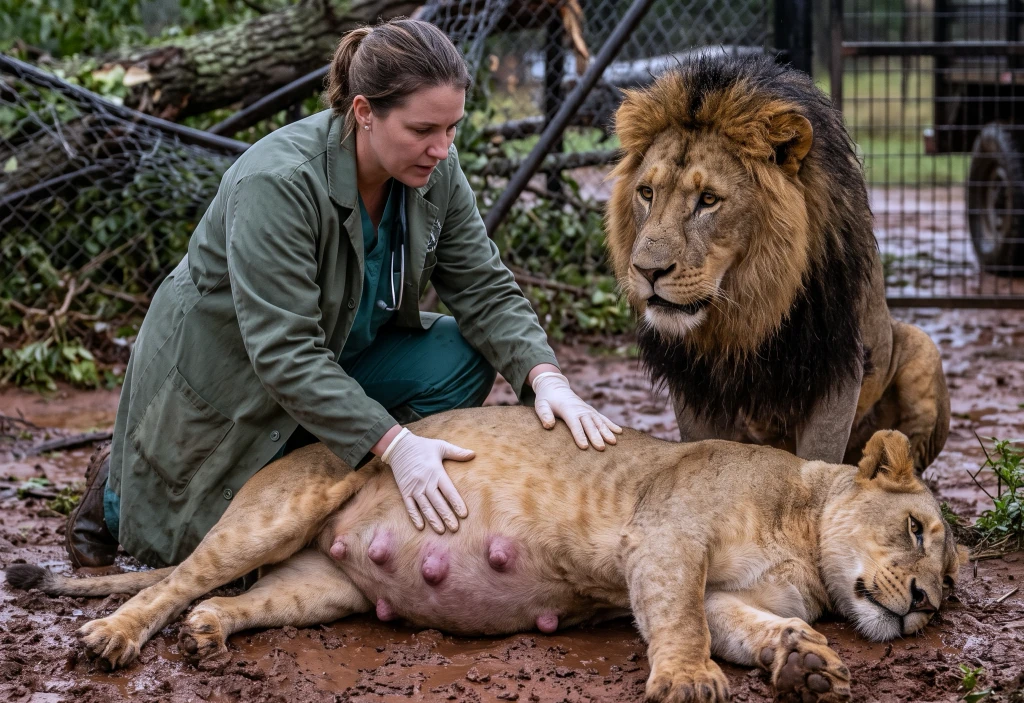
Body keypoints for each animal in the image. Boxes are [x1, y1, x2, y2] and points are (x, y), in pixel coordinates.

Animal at [6, 407, 963, 702]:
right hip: (280, 508)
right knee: (173, 580)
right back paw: (113, 637)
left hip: (323, 586)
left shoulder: (727, 593)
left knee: (235, 597)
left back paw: (210, 633)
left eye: (952, 582)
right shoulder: (666, 537)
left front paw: (802, 662)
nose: (926, 604)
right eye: (919, 531)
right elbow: (681, 624)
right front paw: (691, 680)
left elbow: (745, 626)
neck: (802, 534)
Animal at [606, 53, 950, 473]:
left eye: (708, 200)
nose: (647, 271)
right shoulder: (691, 379)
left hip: (923, 349)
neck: (750, 305)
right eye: (646, 193)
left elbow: (821, 457)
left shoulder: (837, 367)